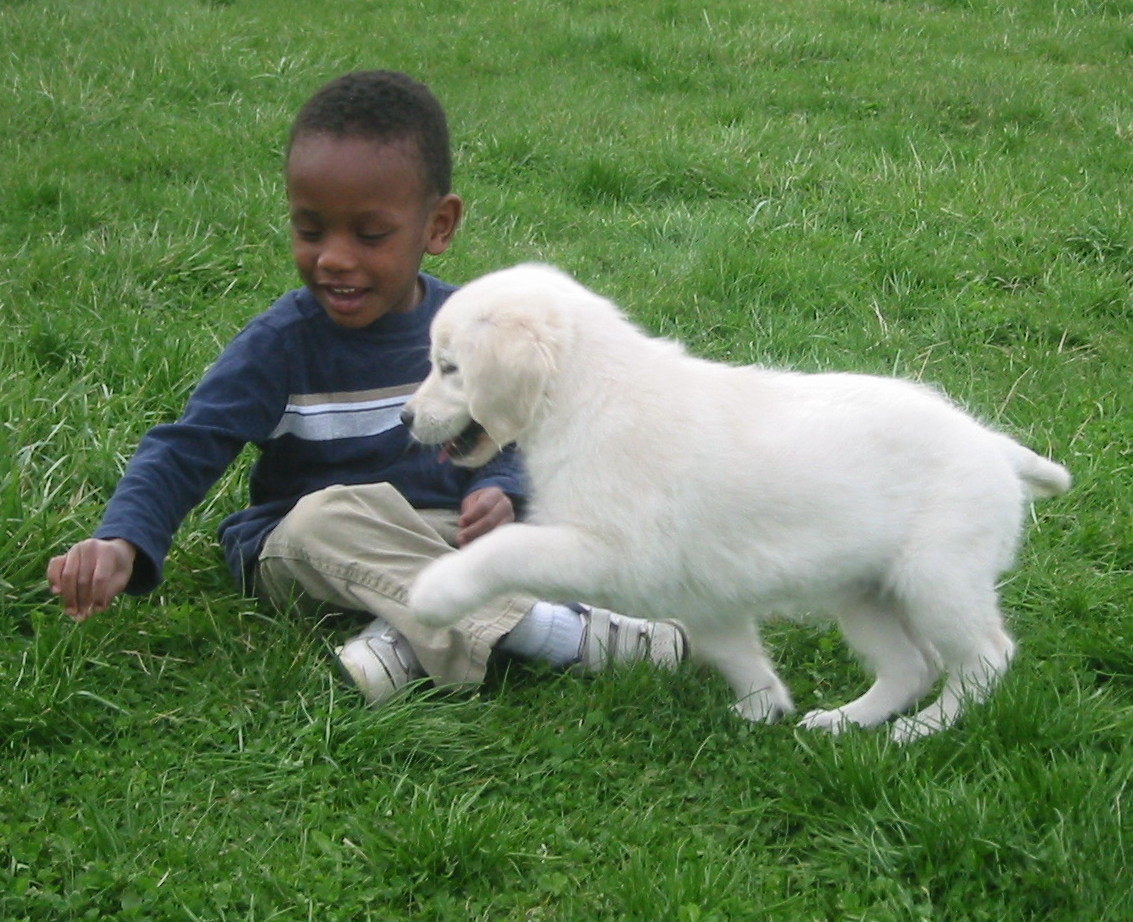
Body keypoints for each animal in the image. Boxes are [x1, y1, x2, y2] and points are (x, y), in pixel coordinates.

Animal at [405, 263, 1069, 738]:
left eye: (449, 368)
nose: (407, 417)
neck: (584, 392)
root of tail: (994, 445)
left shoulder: (609, 551)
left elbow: (507, 544)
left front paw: (438, 593)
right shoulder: (700, 592)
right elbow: (732, 652)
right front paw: (761, 709)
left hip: (938, 577)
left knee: (985, 658)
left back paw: (924, 729)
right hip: (865, 592)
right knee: (913, 666)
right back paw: (845, 721)